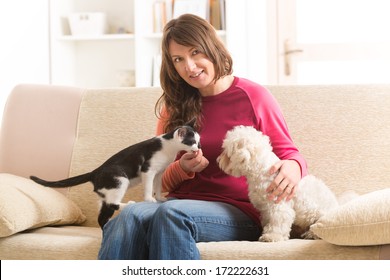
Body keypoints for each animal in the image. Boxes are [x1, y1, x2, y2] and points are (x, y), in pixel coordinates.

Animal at [30, 121, 201, 229]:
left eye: (198, 142)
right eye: (192, 142)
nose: (198, 148)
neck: (169, 148)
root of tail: (95, 172)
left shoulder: (159, 173)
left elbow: (158, 186)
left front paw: (159, 197)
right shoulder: (148, 170)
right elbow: (148, 186)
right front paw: (149, 199)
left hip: (107, 193)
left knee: (103, 214)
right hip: (120, 180)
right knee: (113, 204)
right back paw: (130, 204)